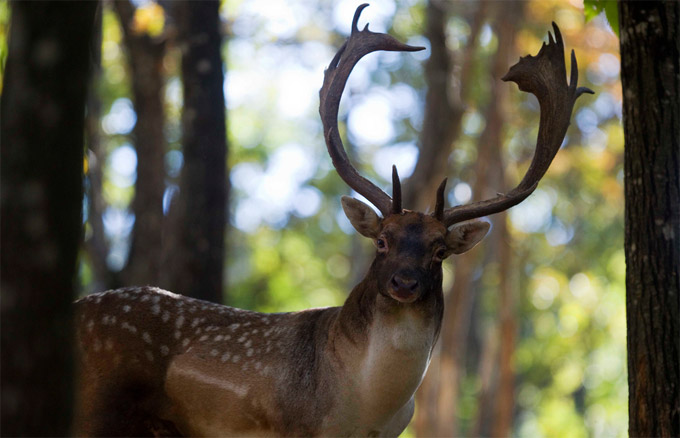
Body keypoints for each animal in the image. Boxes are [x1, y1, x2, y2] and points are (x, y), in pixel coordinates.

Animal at [74, 4, 592, 438]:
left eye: (440, 250)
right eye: (382, 240)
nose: (404, 283)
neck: (365, 411)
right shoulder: (295, 428)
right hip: (95, 410)